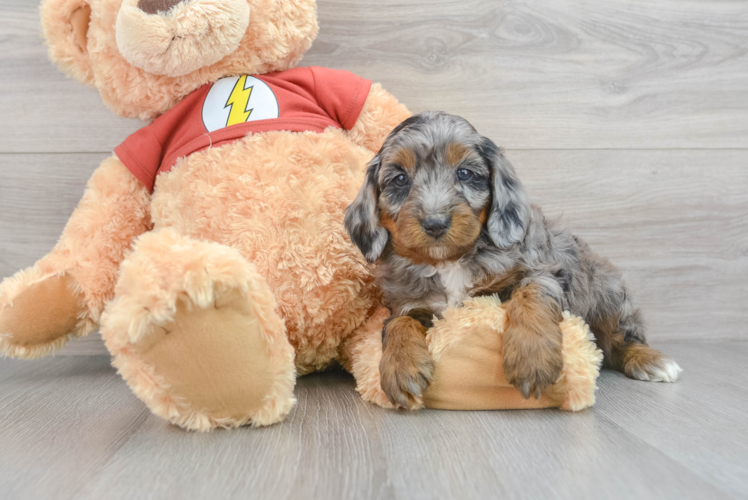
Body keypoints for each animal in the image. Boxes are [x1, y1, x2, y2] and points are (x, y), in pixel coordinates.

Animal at [344, 111, 684, 408]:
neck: (449, 262)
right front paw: (402, 368)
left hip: (607, 293)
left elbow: (531, 295)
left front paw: (532, 357)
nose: (435, 223)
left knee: (619, 339)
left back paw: (651, 360)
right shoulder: (410, 302)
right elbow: (397, 323)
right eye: (400, 179)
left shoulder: (542, 270)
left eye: (464, 173)